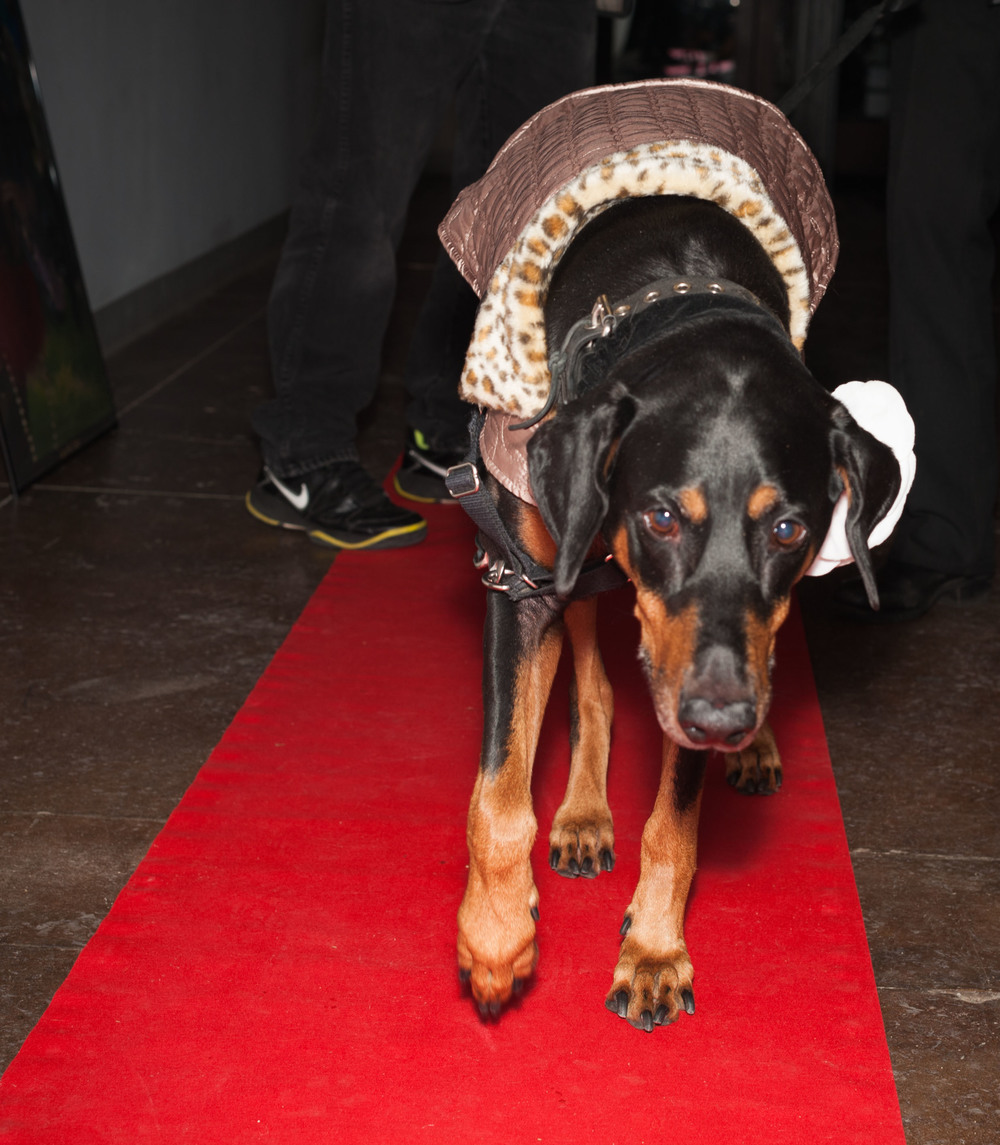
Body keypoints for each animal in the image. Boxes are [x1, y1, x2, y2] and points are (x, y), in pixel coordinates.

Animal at [439, 78, 907, 1030]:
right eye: (659, 515)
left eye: (790, 528)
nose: (723, 721)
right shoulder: (522, 577)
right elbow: (498, 793)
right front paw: (496, 935)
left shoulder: (709, 656)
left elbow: (676, 819)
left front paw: (654, 950)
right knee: (592, 682)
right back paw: (582, 811)